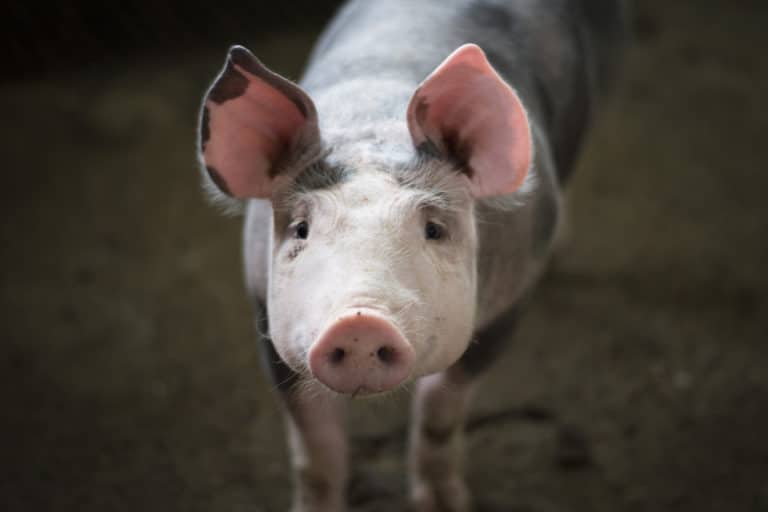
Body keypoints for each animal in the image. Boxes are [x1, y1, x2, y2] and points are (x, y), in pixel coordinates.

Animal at [196, 0, 625, 510]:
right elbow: (315, 446)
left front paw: (444, 503)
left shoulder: (509, 303)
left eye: (433, 229)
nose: (359, 321)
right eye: (301, 228)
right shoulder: (265, 312)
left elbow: (440, 411)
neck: (375, 120)